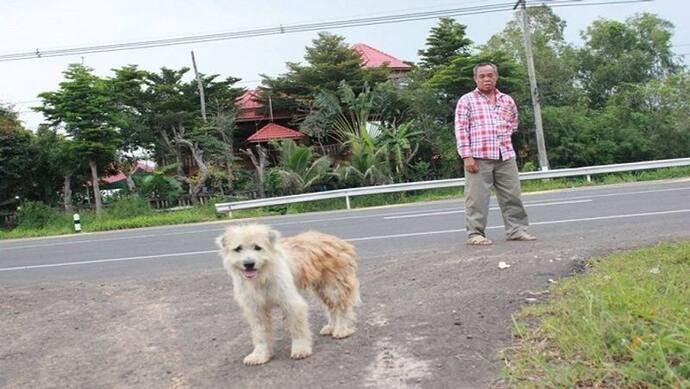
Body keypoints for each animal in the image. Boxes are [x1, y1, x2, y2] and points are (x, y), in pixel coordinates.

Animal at [218, 223, 360, 366]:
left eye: (257, 247)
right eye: (238, 248)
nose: (248, 264)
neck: (262, 277)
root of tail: (336, 239)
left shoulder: (291, 302)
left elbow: (298, 329)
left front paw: (300, 349)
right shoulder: (255, 310)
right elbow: (260, 333)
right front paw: (259, 355)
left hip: (334, 287)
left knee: (341, 308)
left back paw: (341, 329)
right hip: (321, 288)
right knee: (331, 308)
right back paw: (331, 327)